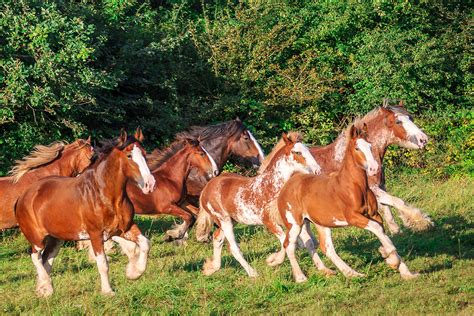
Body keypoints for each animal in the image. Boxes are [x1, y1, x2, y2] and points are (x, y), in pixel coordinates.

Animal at [15, 128, 154, 296]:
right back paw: (46, 286)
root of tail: (23, 196)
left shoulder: (124, 228)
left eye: (144, 154)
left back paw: (45, 291)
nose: (149, 184)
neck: (105, 195)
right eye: (129, 155)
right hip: (37, 238)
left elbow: (144, 244)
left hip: (56, 239)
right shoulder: (95, 234)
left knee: (46, 259)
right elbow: (103, 264)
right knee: (35, 256)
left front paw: (133, 273)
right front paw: (108, 291)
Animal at [194, 132, 320, 278]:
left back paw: (212, 268)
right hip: (224, 220)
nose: (317, 171)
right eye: (297, 152)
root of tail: (206, 189)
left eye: (308, 150)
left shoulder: (291, 221)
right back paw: (253, 273)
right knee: (233, 248)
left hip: (232, 220)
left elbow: (300, 243)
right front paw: (273, 260)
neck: (271, 187)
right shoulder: (269, 222)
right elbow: (287, 242)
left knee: (217, 238)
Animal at [278, 123, 418, 282]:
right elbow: (376, 229)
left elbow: (383, 233)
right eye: (357, 148)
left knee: (326, 247)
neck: (353, 185)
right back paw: (301, 277)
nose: (374, 168)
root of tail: (291, 181)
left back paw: (352, 273)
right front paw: (391, 258)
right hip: (294, 224)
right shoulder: (353, 217)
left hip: (321, 222)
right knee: (289, 245)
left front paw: (405, 271)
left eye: (370, 146)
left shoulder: (375, 215)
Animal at [310, 99, 432, 235]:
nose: (423, 139)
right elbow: (398, 201)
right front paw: (421, 221)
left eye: (411, 118)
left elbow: (388, 211)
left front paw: (397, 231)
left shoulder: (380, 186)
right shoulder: (373, 189)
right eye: (398, 121)